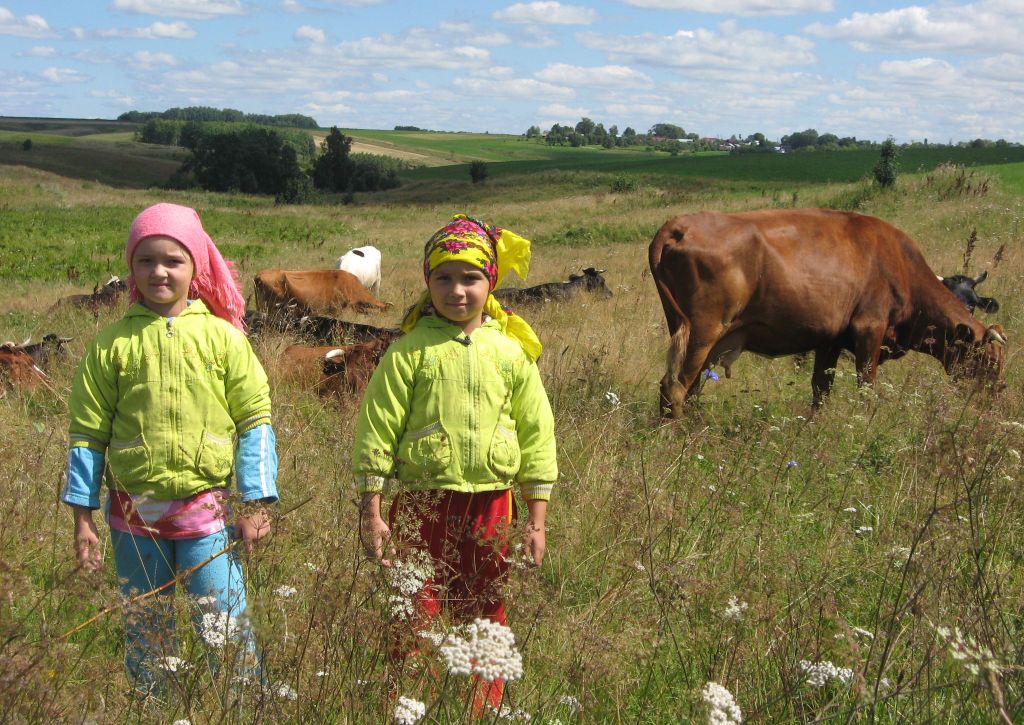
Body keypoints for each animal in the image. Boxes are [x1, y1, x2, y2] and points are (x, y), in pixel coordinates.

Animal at [647, 206, 1007, 415]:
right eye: (990, 361)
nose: (998, 394)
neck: (902, 266)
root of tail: (679, 224)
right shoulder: (869, 330)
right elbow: (866, 388)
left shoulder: (830, 340)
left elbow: (821, 390)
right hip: (702, 332)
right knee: (675, 387)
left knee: (691, 388)